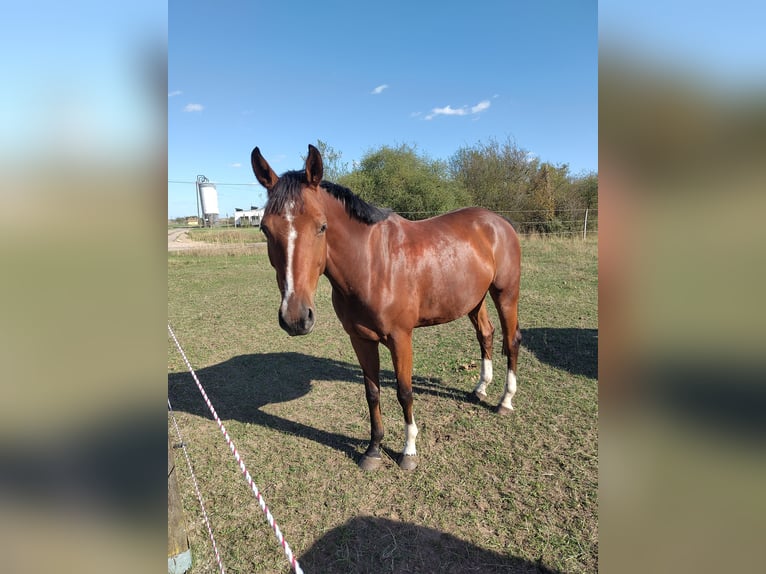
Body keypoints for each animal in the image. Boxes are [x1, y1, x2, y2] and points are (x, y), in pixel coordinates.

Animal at [251, 144, 522, 470]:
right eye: (265, 229)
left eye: (321, 226)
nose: (295, 317)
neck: (373, 265)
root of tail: (498, 221)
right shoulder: (361, 339)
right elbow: (372, 392)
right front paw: (373, 449)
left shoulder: (400, 338)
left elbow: (404, 392)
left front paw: (409, 452)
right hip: (475, 299)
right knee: (486, 334)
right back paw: (481, 388)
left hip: (505, 294)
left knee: (512, 340)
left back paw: (505, 401)